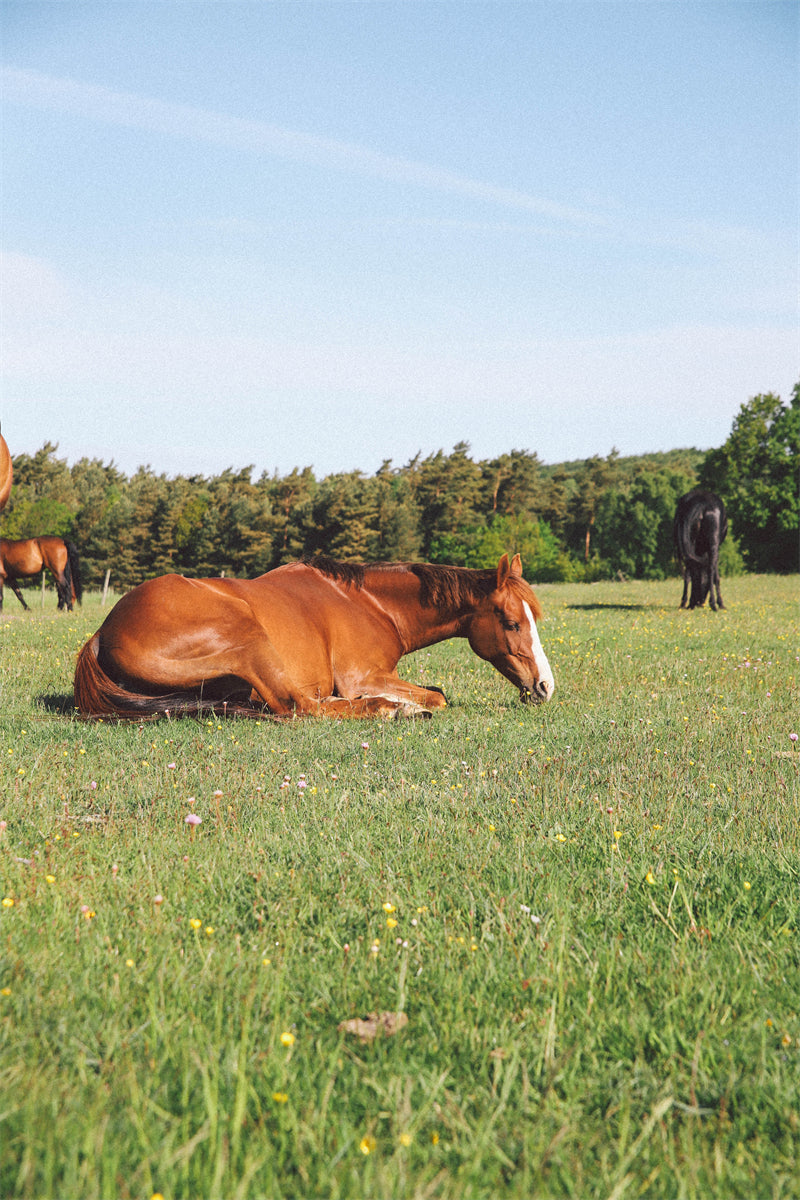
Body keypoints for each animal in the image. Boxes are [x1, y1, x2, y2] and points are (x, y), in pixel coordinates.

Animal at [73, 553, 554, 720]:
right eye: (512, 623)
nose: (545, 686)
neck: (371, 604)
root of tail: (103, 633)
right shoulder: (363, 677)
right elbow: (437, 696)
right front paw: (400, 703)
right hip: (248, 639)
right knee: (300, 707)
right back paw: (389, 709)